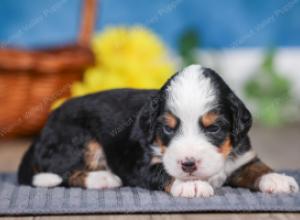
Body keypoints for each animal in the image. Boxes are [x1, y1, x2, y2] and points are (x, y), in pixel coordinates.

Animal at [18, 64, 298, 197]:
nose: (188, 164)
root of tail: (44, 128)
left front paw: (277, 179)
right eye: (167, 128)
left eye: (214, 128)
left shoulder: (242, 156)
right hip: (76, 139)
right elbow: (163, 171)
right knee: (63, 172)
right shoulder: (141, 164)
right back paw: (103, 178)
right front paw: (191, 185)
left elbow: (257, 167)